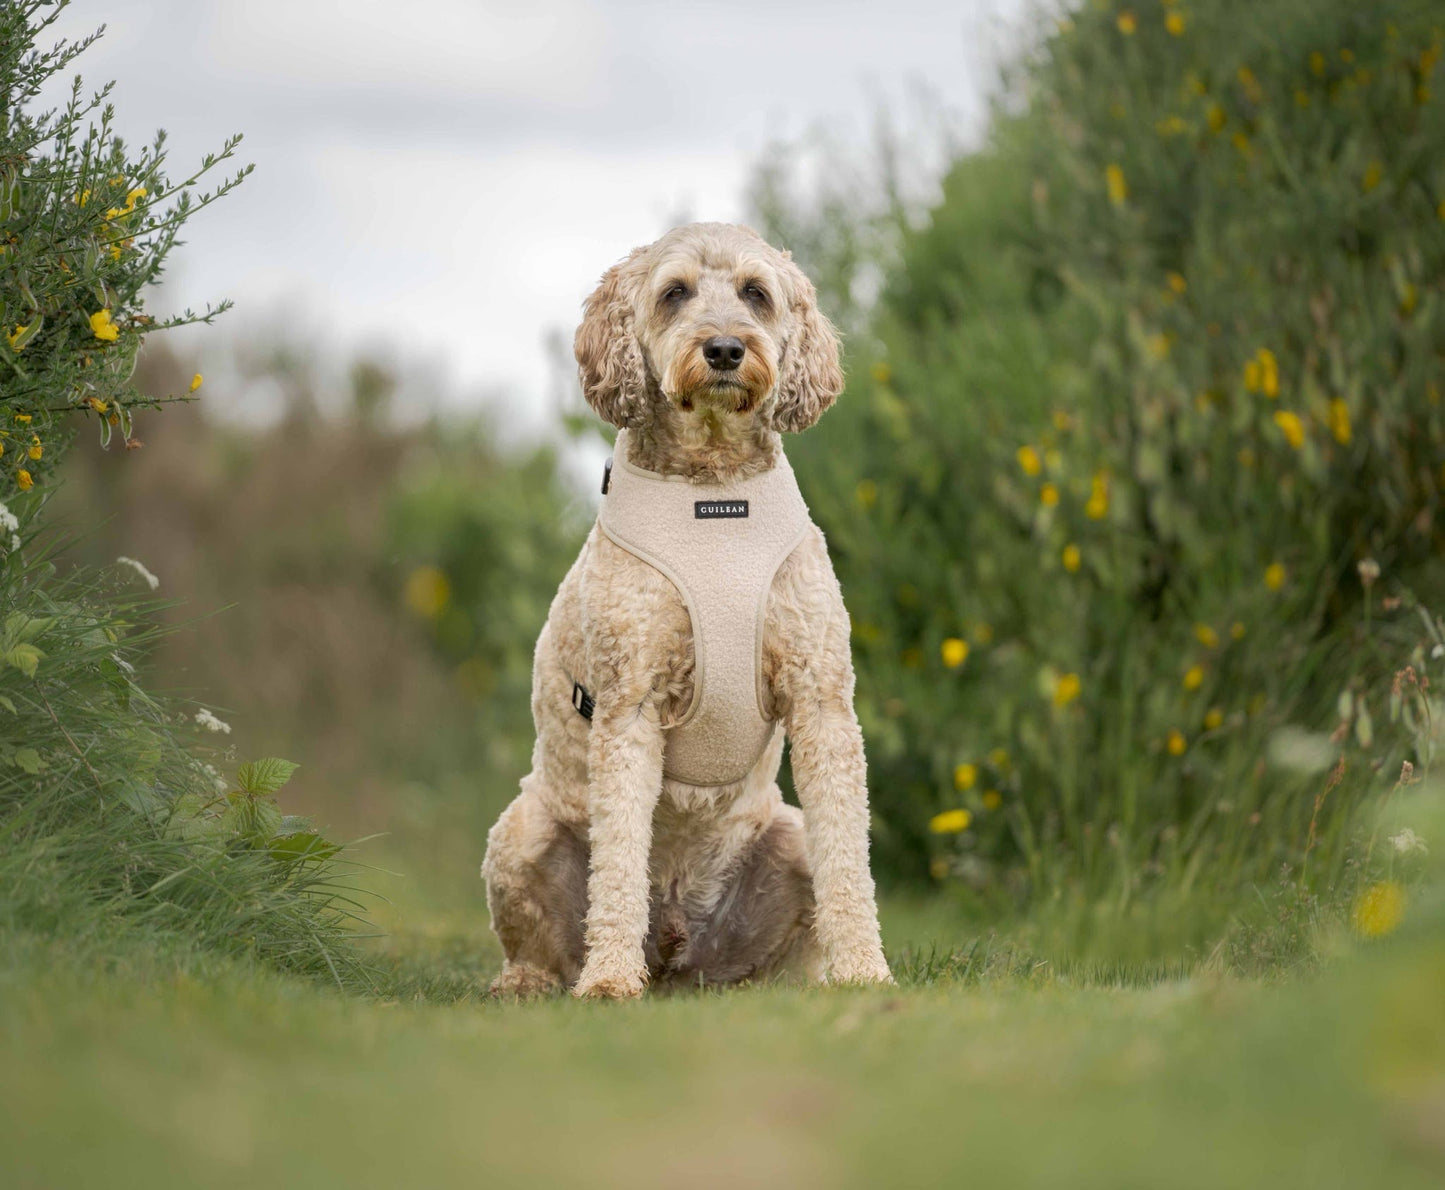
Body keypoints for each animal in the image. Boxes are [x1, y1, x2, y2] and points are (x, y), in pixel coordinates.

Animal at [482, 220, 890, 993]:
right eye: (674, 293)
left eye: (756, 294)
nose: (725, 348)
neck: (713, 499)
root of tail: (675, 945)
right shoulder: (628, 704)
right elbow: (618, 860)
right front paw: (609, 981)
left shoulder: (821, 697)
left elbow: (850, 862)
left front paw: (864, 970)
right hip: (519, 832)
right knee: (539, 941)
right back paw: (535, 982)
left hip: (786, 836)